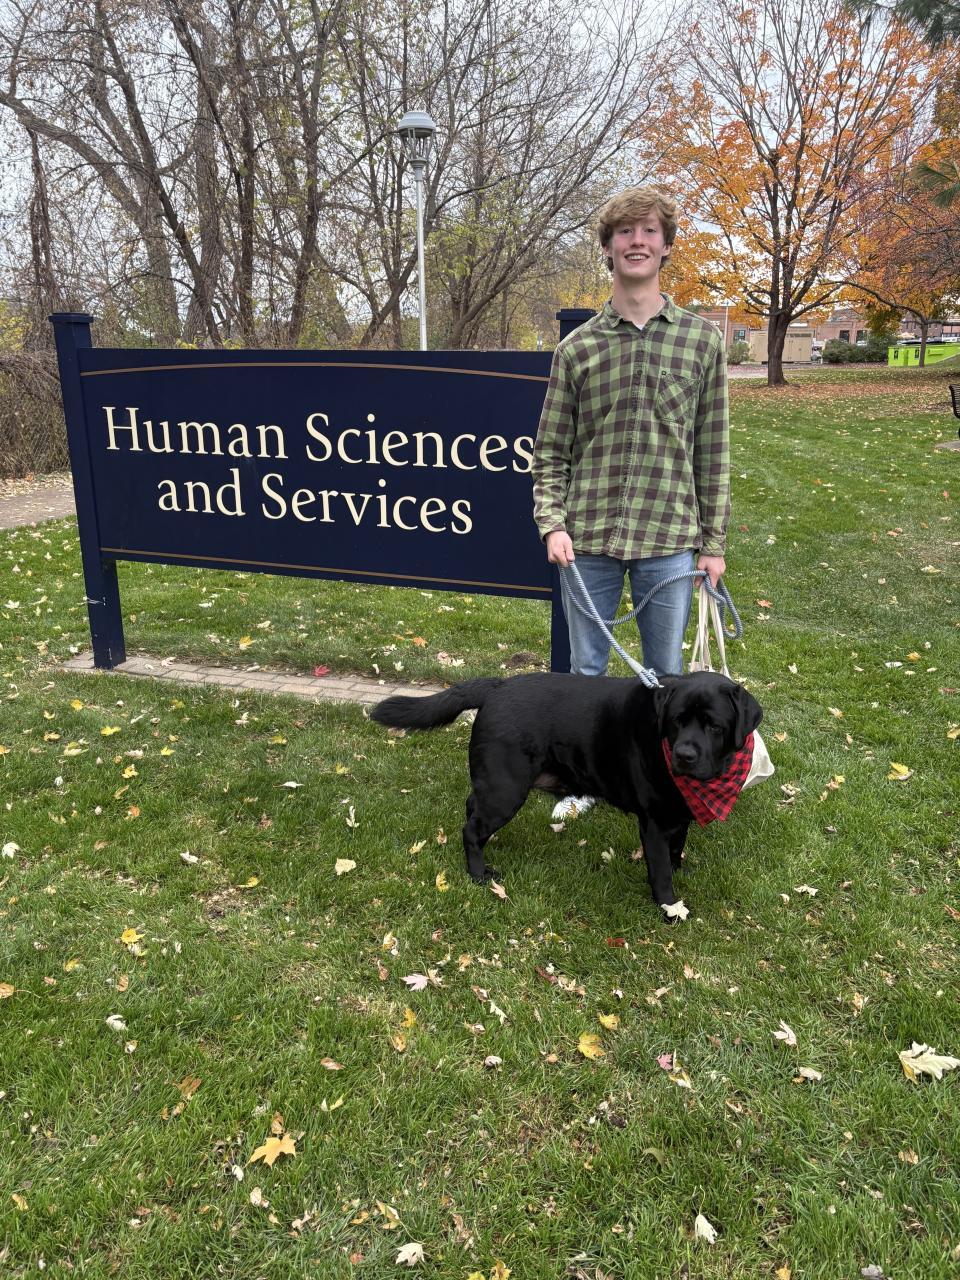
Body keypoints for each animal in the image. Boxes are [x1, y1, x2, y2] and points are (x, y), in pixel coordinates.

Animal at [370, 670, 763, 918]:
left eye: (714, 726)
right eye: (677, 720)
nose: (684, 755)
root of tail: (497, 686)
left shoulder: (677, 815)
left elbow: (675, 850)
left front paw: (680, 871)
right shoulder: (652, 820)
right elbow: (661, 870)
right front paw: (670, 908)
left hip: (494, 784)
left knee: (471, 809)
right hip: (505, 789)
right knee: (470, 829)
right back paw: (479, 873)